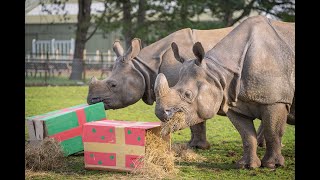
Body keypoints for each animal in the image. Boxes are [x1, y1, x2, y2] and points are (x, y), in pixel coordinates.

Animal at [154, 15, 296, 169]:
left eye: (187, 94)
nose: (160, 113)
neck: (218, 71)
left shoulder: (276, 100)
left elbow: (273, 133)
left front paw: (272, 165)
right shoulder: (235, 102)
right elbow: (246, 135)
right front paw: (247, 166)